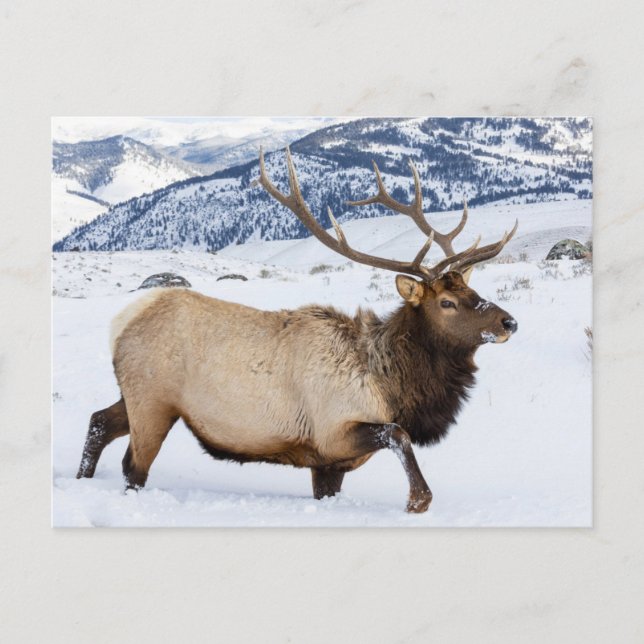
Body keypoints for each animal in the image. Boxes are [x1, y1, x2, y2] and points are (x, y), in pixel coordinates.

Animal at [76, 147, 518, 513]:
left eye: (472, 290)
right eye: (446, 302)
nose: (508, 322)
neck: (392, 387)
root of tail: (123, 321)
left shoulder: (328, 465)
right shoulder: (333, 432)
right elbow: (399, 435)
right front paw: (417, 501)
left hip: (138, 396)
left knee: (98, 420)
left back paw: (81, 479)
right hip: (153, 400)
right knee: (133, 465)